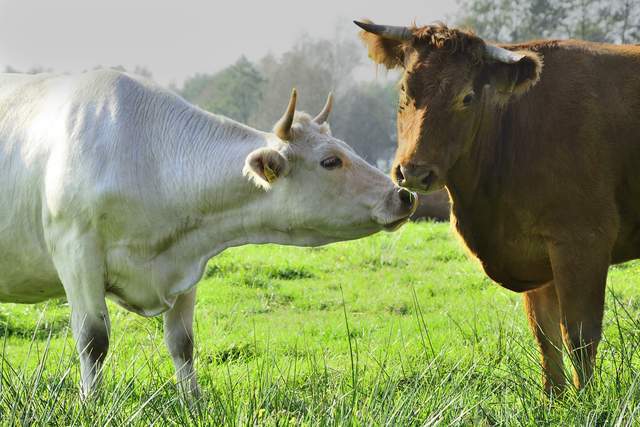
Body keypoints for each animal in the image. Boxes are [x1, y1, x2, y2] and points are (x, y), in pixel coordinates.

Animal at [0, 71, 416, 398]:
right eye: (330, 161)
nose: (403, 195)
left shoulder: (186, 262)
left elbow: (182, 343)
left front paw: (193, 403)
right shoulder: (76, 252)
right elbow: (92, 339)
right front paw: (92, 403)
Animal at [358, 20, 640, 394]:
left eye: (467, 97)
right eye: (404, 89)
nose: (414, 172)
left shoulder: (584, 240)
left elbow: (579, 335)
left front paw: (588, 399)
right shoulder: (536, 256)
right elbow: (545, 338)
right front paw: (554, 399)